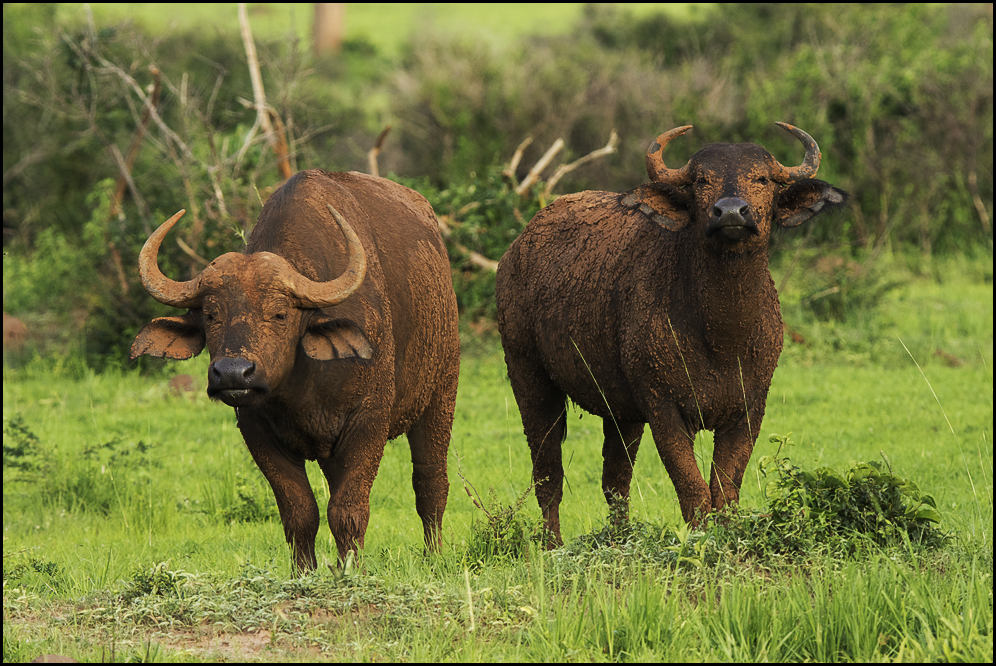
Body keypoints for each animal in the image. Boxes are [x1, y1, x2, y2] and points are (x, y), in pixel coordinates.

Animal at [130, 169, 462, 568]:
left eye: (279, 313)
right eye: (210, 315)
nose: (232, 372)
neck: (303, 385)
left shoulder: (369, 421)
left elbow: (348, 509)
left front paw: (351, 569)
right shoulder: (256, 429)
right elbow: (300, 512)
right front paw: (305, 571)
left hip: (441, 392)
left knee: (430, 480)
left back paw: (434, 555)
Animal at [494, 123, 844, 540]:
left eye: (761, 179)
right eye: (701, 181)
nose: (731, 211)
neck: (722, 337)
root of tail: (516, 250)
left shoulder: (749, 409)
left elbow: (725, 492)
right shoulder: (663, 408)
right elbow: (694, 492)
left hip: (620, 412)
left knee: (615, 481)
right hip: (529, 378)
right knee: (548, 475)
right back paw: (553, 545)